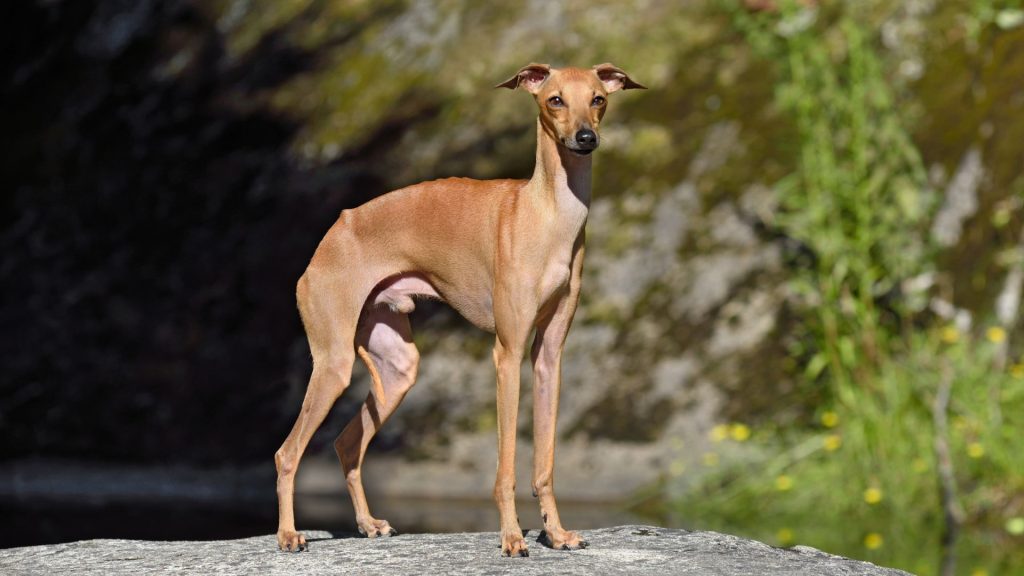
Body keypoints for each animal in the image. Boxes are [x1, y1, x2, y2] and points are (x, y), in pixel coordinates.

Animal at [276, 60, 643, 553]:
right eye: (555, 100)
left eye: (598, 99)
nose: (585, 138)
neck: (545, 214)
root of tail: (335, 231)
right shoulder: (507, 354)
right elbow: (505, 467)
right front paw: (512, 538)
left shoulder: (548, 357)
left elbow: (544, 462)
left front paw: (556, 532)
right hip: (333, 362)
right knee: (287, 452)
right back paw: (288, 534)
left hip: (396, 367)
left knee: (346, 443)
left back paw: (369, 524)